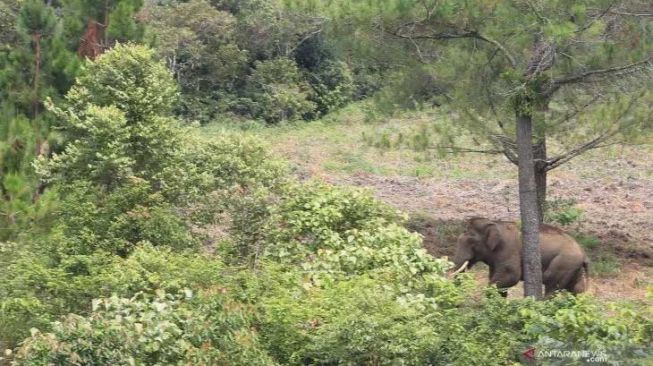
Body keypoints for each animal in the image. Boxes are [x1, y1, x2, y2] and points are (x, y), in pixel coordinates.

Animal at [450, 217, 588, 298]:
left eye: (471, 242)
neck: (494, 223)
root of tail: (583, 254)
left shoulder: (508, 249)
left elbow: (511, 276)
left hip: (563, 264)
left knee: (552, 287)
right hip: (574, 269)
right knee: (577, 290)